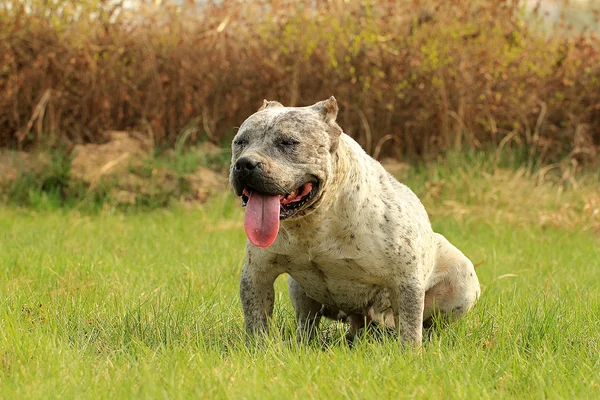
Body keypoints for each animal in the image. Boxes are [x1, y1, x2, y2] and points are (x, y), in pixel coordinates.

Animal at [227, 96, 480, 344]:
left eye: (288, 142)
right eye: (240, 142)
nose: (245, 164)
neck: (315, 221)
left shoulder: (405, 281)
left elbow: (410, 330)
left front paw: (411, 352)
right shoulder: (257, 274)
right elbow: (257, 323)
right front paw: (259, 349)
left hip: (462, 277)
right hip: (298, 289)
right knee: (307, 322)